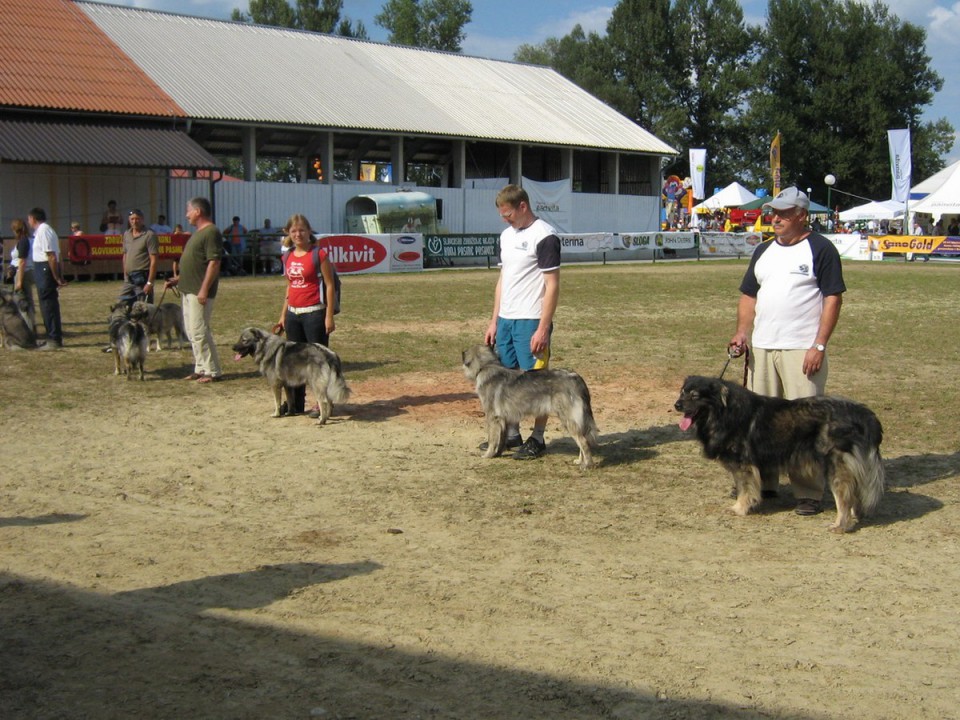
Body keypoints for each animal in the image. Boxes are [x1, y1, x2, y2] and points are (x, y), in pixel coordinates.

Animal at [460, 346, 600, 470]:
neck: (486, 366)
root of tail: (576, 377)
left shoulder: (492, 418)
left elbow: (492, 440)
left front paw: (488, 455)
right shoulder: (503, 420)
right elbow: (501, 440)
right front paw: (497, 454)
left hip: (568, 419)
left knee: (584, 442)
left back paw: (587, 465)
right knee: (583, 439)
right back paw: (580, 461)